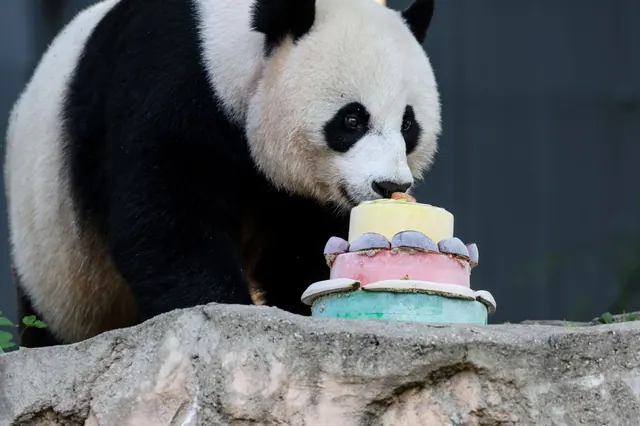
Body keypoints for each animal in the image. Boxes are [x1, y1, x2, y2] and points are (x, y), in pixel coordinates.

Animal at [4, 0, 441, 348]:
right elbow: (167, 220)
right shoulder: (168, 82)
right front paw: (222, 310)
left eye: (408, 124)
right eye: (352, 119)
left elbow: (300, 249)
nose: (389, 185)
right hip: (54, 257)